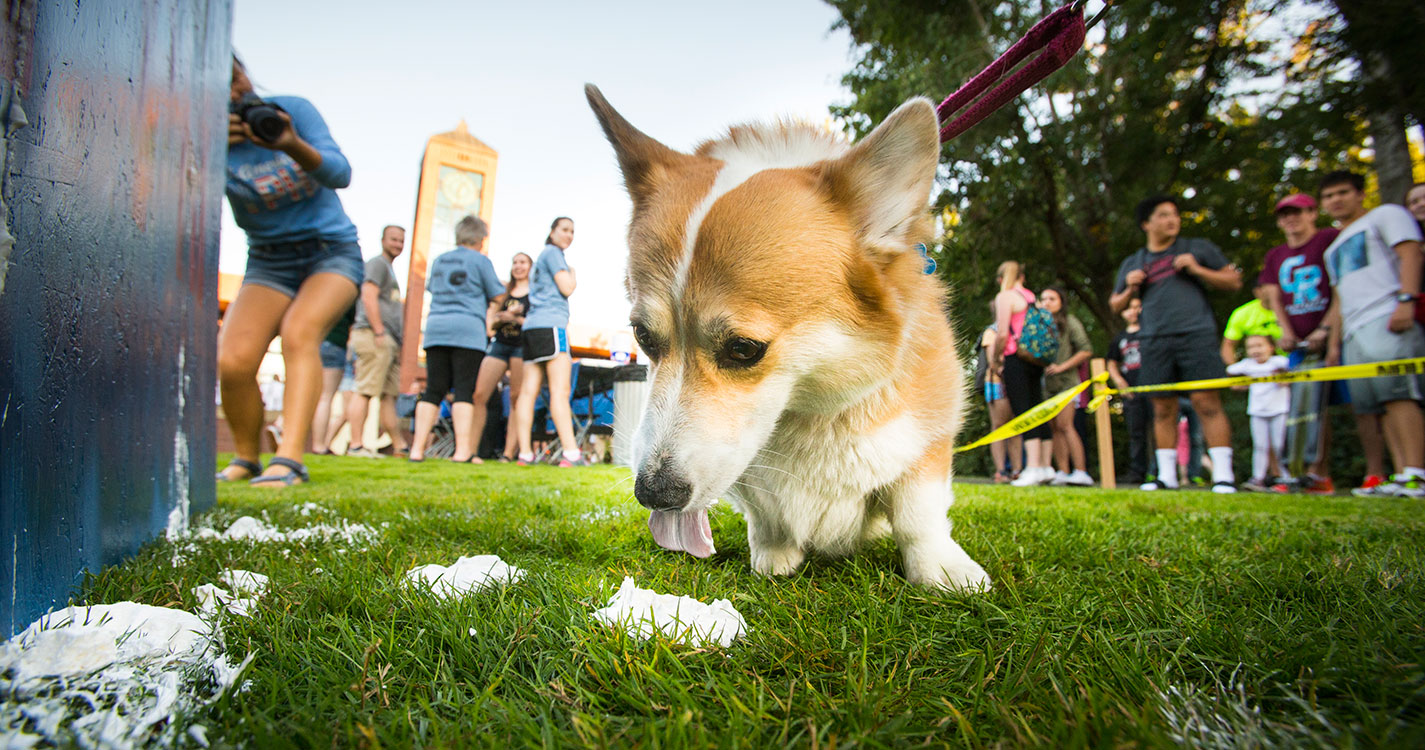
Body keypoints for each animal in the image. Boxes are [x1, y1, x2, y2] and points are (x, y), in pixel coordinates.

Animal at [584, 83, 986, 593]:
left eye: (744, 349)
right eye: (643, 336)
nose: (654, 493)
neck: (811, 413)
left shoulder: (929, 433)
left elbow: (919, 511)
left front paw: (940, 570)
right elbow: (765, 516)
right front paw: (773, 555)